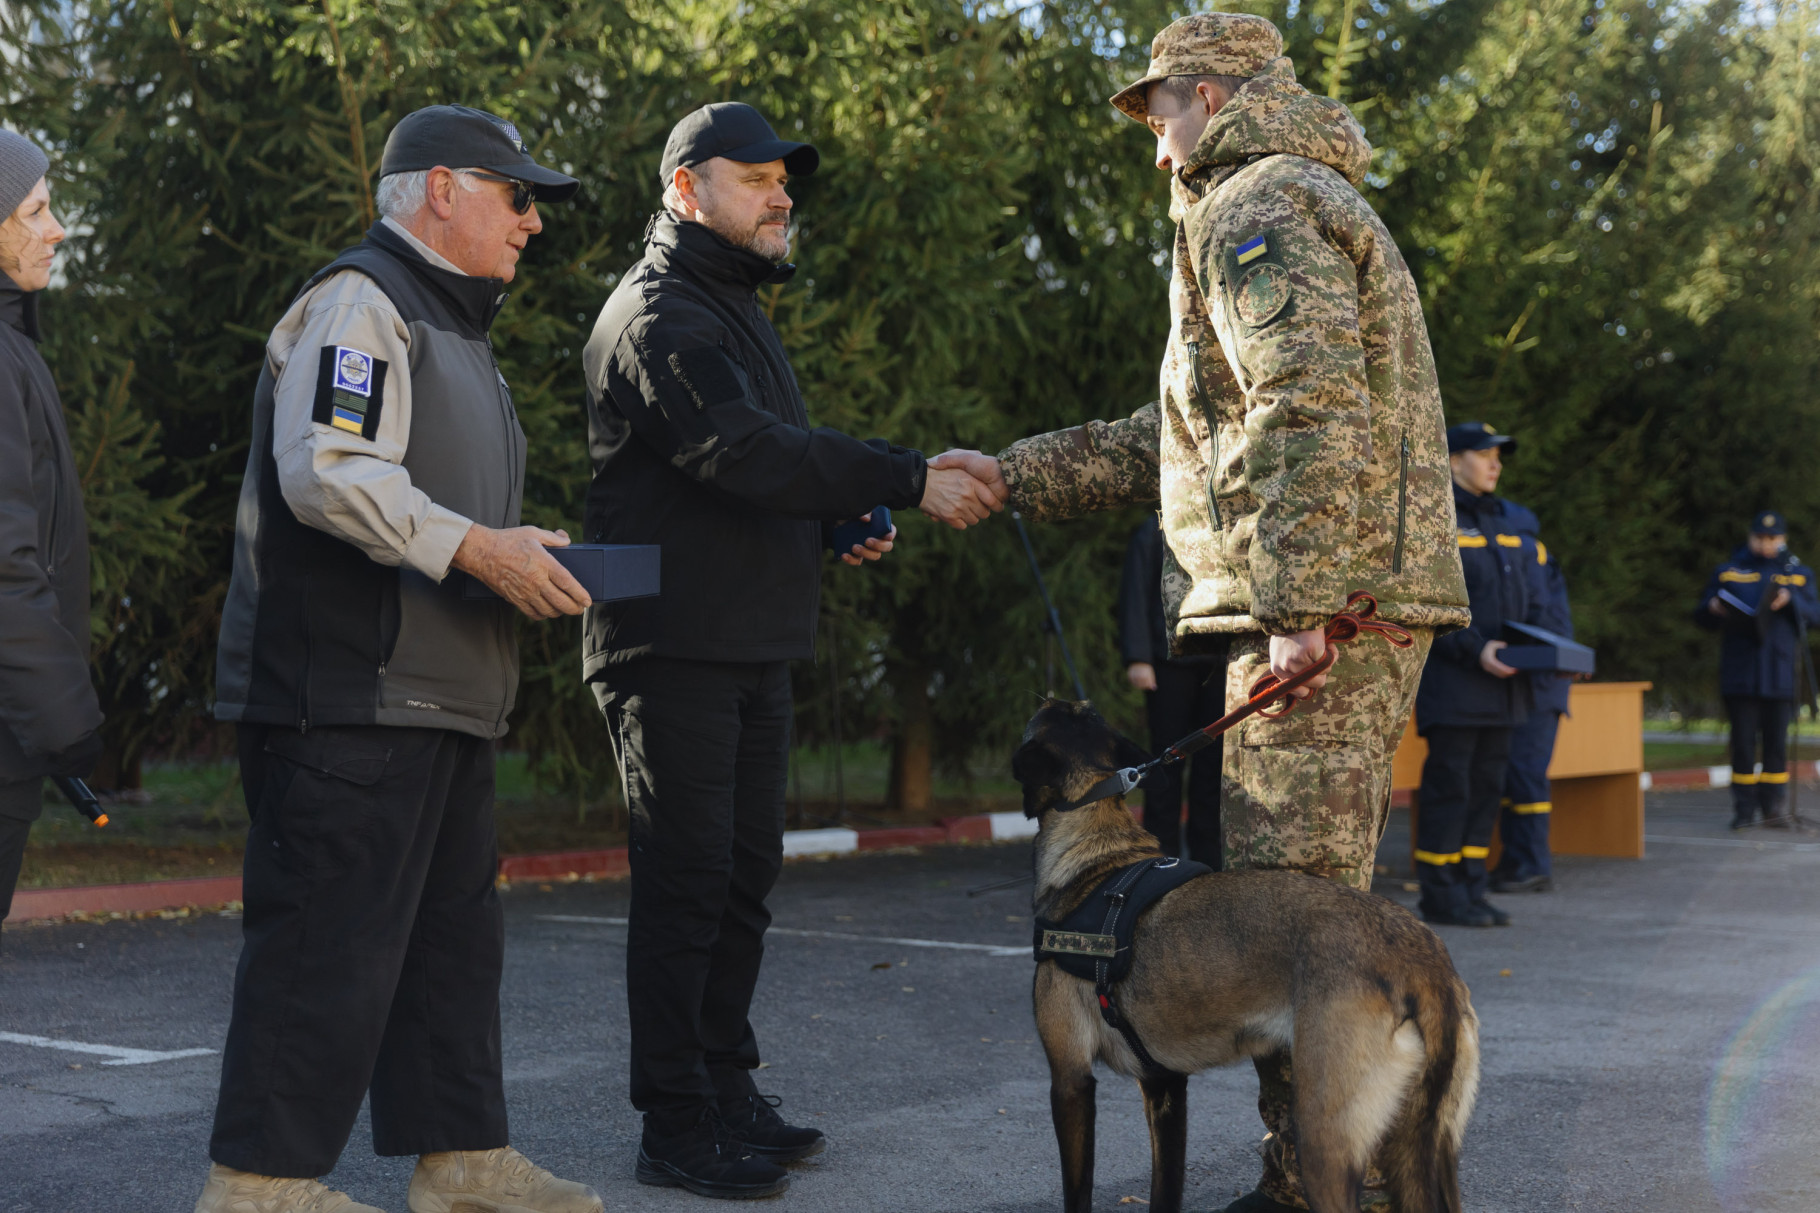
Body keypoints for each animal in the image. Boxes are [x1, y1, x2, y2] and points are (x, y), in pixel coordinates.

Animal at [1011, 695, 1477, 1209]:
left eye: (1051, 713)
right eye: (1079, 710)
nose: (1050, 696)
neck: (1098, 853)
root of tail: (1423, 960)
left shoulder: (1070, 1081)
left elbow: (1077, 1191)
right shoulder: (1164, 1086)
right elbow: (1164, 1190)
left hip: (1323, 1142)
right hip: (1426, 1152)